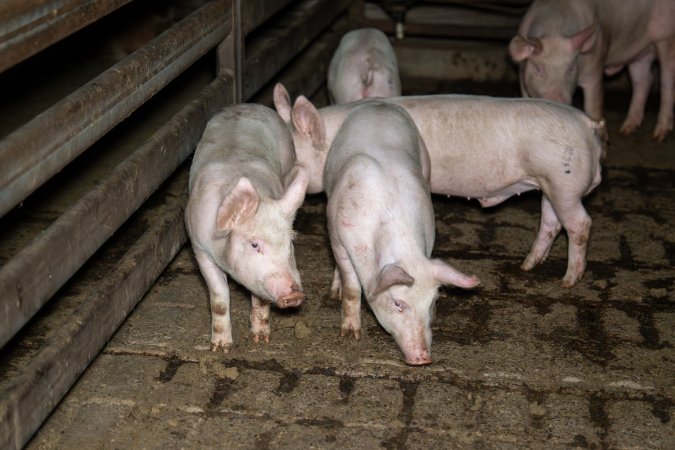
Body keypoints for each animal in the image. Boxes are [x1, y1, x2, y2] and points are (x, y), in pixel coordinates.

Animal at [186, 103, 310, 352]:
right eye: (254, 245)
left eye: (290, 243)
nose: (295, 295)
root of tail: (246, 105)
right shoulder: (199, 248)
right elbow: (219, 298)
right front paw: (220, 348)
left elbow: (260, 298)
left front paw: (260, 340)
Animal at [274, 83, 608, 288]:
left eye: (293, 161)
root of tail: (587, 123)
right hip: (549, 183)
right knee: (551, 222)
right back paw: (527, 266)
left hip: (563, 182)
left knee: (580, 224)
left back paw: (568, 280)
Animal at [326, 103, 480, 366]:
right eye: (398, 303)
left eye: (433, 302)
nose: (423, 359)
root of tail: (380, 104)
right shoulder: (340, 238)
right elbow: (352, 287)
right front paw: (350, 334)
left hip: (426, 163)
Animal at [510, 0, 675, 142]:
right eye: (539, 69)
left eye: (570, 68)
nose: (558, 101)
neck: (553, 30)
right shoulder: (522, 77)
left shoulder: (595, 64)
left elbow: (593, 106)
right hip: (639, 53)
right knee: (643, 81)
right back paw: (626, 130)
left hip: (666, 37)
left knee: (667, 80)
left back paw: (659, 136)